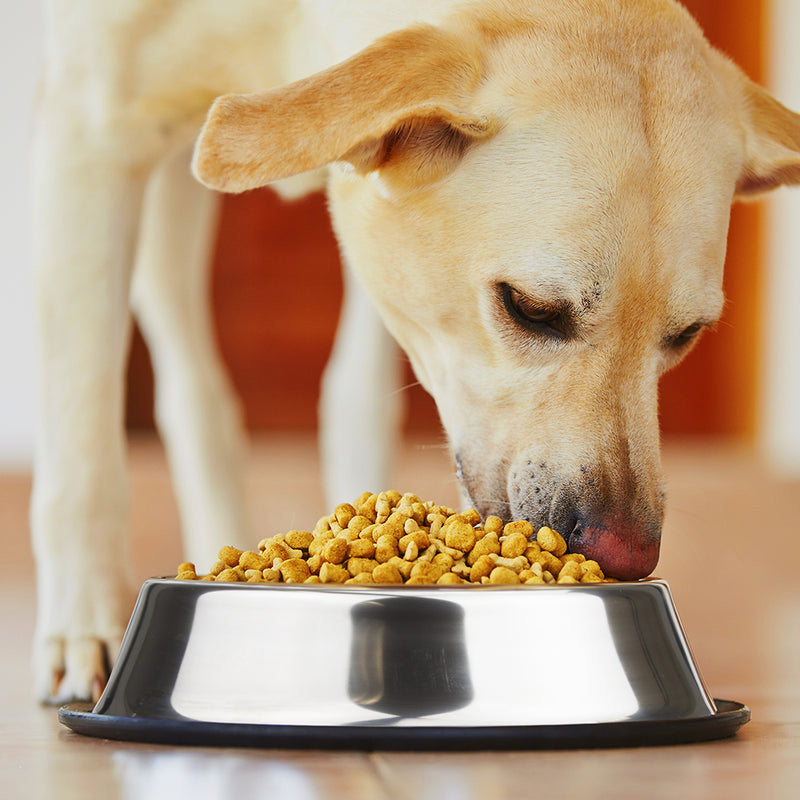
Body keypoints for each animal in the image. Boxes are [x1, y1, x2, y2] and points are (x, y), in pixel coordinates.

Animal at [28, 0, 796, 700]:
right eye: (530, 308)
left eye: (686, 335)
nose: (627, 553)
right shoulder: (91, 136)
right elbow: (81, 444)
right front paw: (84, 628)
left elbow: (358, 401)